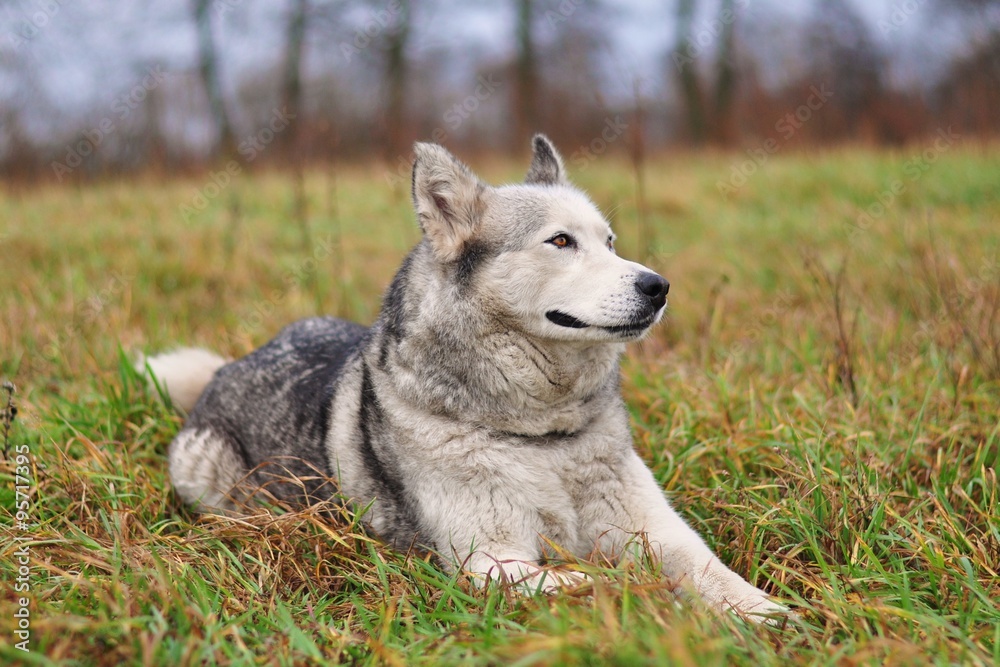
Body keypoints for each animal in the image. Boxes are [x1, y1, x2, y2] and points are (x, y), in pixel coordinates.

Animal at [146, 134, 788, 620]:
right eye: (561, 241)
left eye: (610, 243)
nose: (658, 286)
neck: (540, 436)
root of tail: (234, 362)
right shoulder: (491, 561)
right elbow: (598, 581)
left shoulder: (653, 528)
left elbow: (707, 568)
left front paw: (764, 614)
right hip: (210, 485)